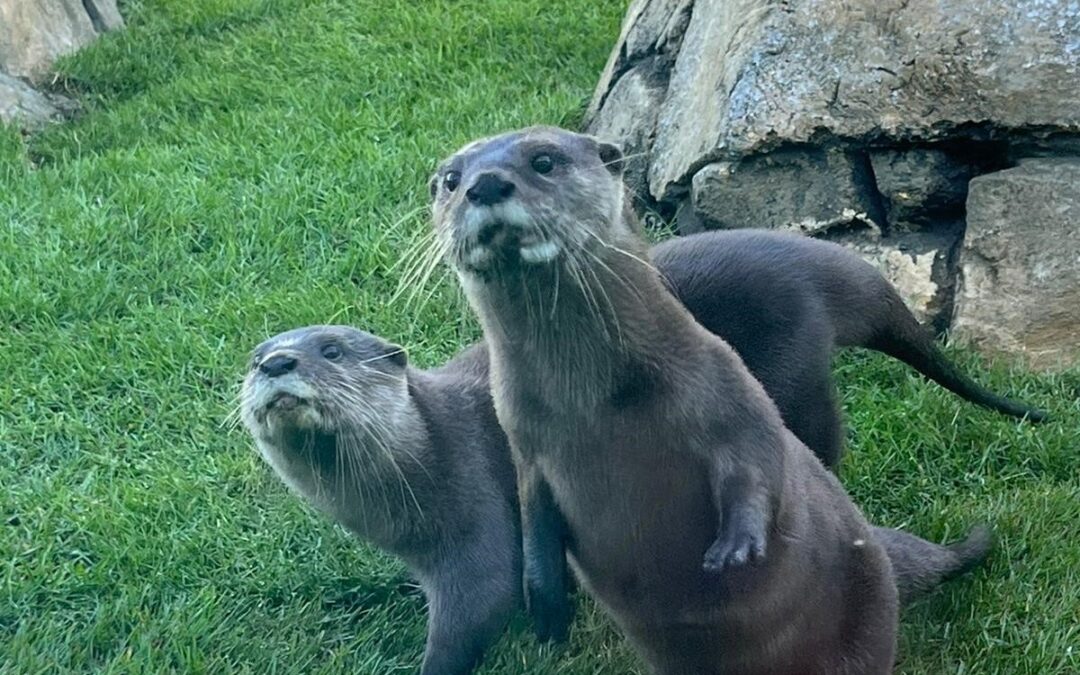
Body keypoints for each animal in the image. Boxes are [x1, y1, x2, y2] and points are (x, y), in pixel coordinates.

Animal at [430, 125, 993, 674]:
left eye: (544, 161)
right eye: (451, 180)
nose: (485, 185)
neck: (592, 403)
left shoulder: (726, 384)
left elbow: (756, 459)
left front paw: (737, 547)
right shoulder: (523, 443)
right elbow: (532, 521)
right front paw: (546, 612)